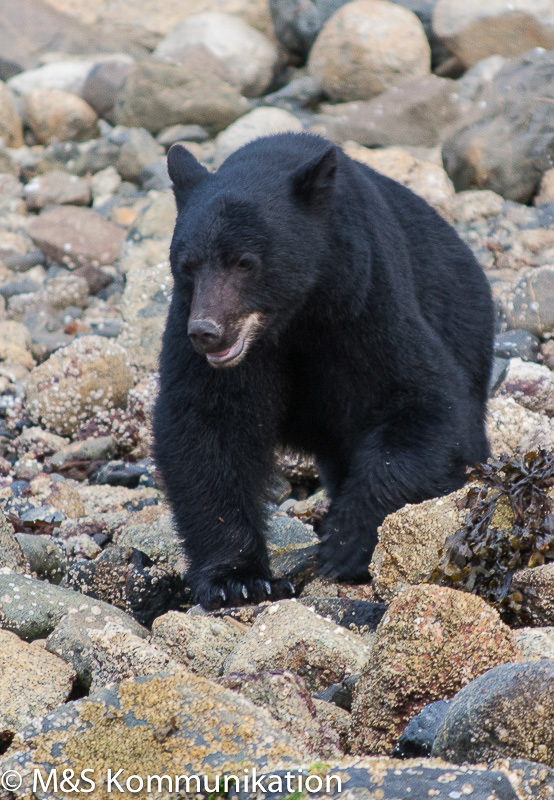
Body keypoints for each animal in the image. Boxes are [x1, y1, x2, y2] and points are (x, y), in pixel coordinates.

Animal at [152, 131, 492, 608]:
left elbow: (425, 400)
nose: (207, 332)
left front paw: (345, 544)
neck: (296, 317)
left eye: (245, 261)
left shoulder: (365, 299)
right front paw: (237, 578)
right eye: (187, 265)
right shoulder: (197, 330)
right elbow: (205, 427)